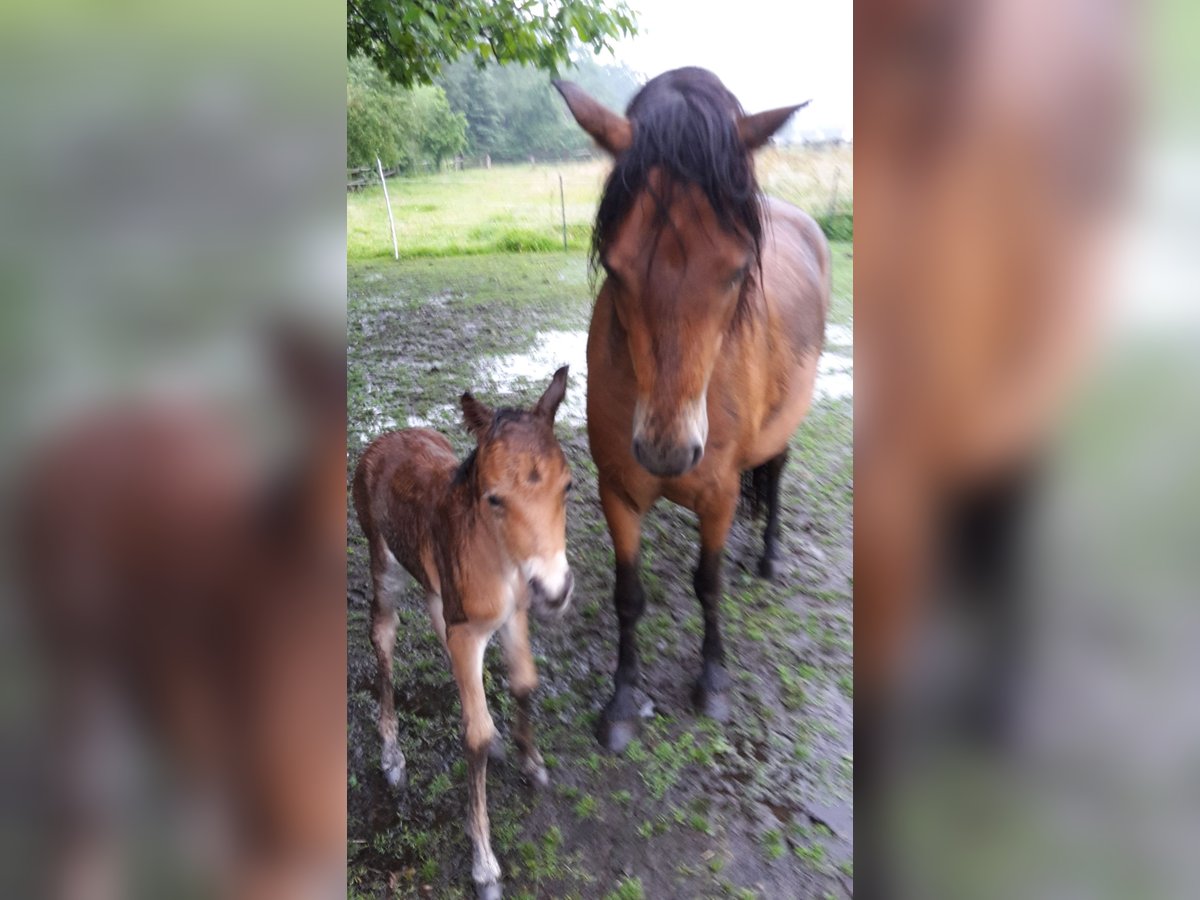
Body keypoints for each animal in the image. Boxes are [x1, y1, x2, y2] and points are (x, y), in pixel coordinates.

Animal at [554, 66, 830, 748]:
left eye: (736, 270)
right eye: (616, 269)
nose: (666, 451)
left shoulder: (719, 492)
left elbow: (709, 583)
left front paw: (713, 682)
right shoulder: (618, 491)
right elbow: (629, 594)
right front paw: (623, 700)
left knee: (776, 471)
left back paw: (769, 556)